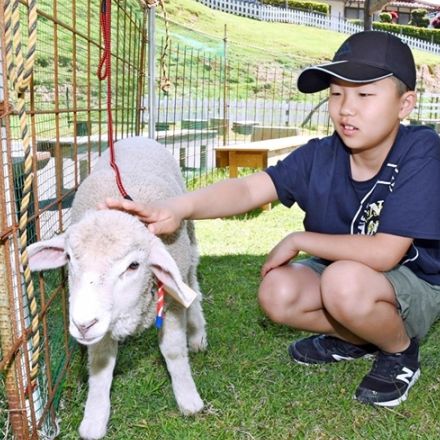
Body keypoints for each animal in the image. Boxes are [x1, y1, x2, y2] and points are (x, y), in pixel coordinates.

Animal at [26, 136, 208, 438]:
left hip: (189, 244)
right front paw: (94, 419)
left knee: (192, 284)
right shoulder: (101, 326)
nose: (82, 324)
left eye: (133, 266)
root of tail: (138, 136)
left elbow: (173, 350)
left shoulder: (169, 304)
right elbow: (100, 366)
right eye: (69, 259)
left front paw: (188, 398)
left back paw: (197, 334)